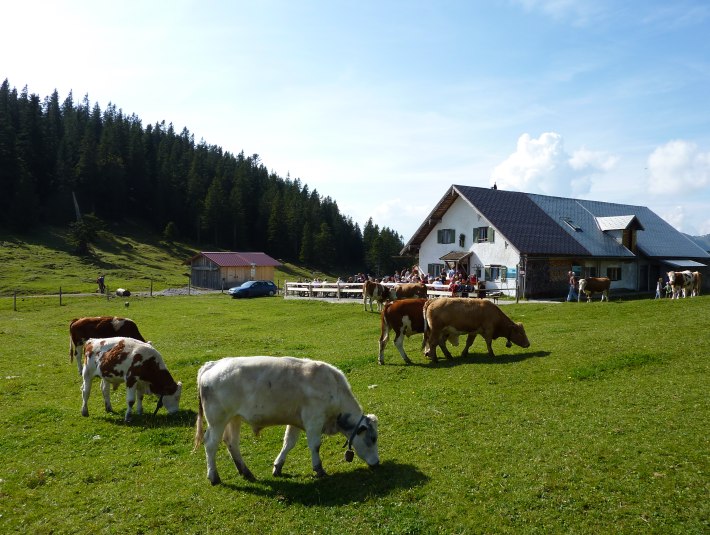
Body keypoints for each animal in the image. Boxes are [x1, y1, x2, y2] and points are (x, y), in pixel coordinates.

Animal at [192, 356, 382, 486]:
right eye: (373, 439)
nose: (377, 463)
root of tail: (212, 364)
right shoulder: (314, 420)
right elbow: (315, 446)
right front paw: (319, 469)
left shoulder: (296, 422)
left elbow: (288, 443)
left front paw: (278, 467)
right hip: (217, 420)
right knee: (210, 444)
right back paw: (214, 476)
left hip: (234, 419)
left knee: (232, 443)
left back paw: (246, 472)